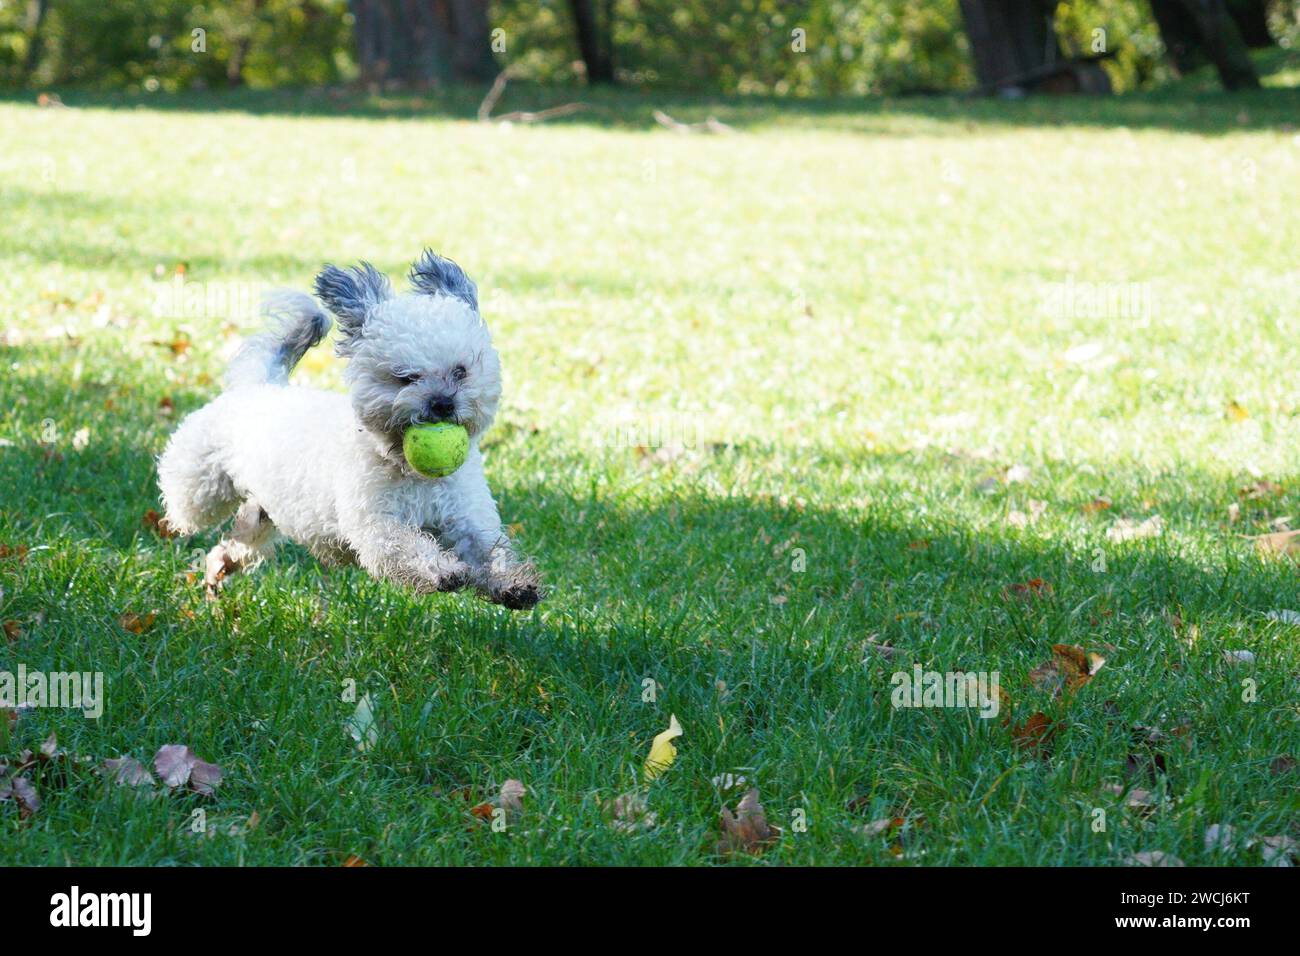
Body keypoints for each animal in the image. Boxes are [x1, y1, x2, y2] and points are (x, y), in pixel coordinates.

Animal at [158, 251, 543, 608]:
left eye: (461, 371)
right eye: (405, 377)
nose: (443, 403)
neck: (411, 473)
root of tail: (258, 384)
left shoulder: (466, 517)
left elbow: (489, 550)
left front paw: (513, 584)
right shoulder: (376, 526)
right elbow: (406, 546)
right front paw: (443, 570)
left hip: (260, 520)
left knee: (234, 546)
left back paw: (216, 569)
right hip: (201, 486)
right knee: (186, 507)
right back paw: (171, 525)